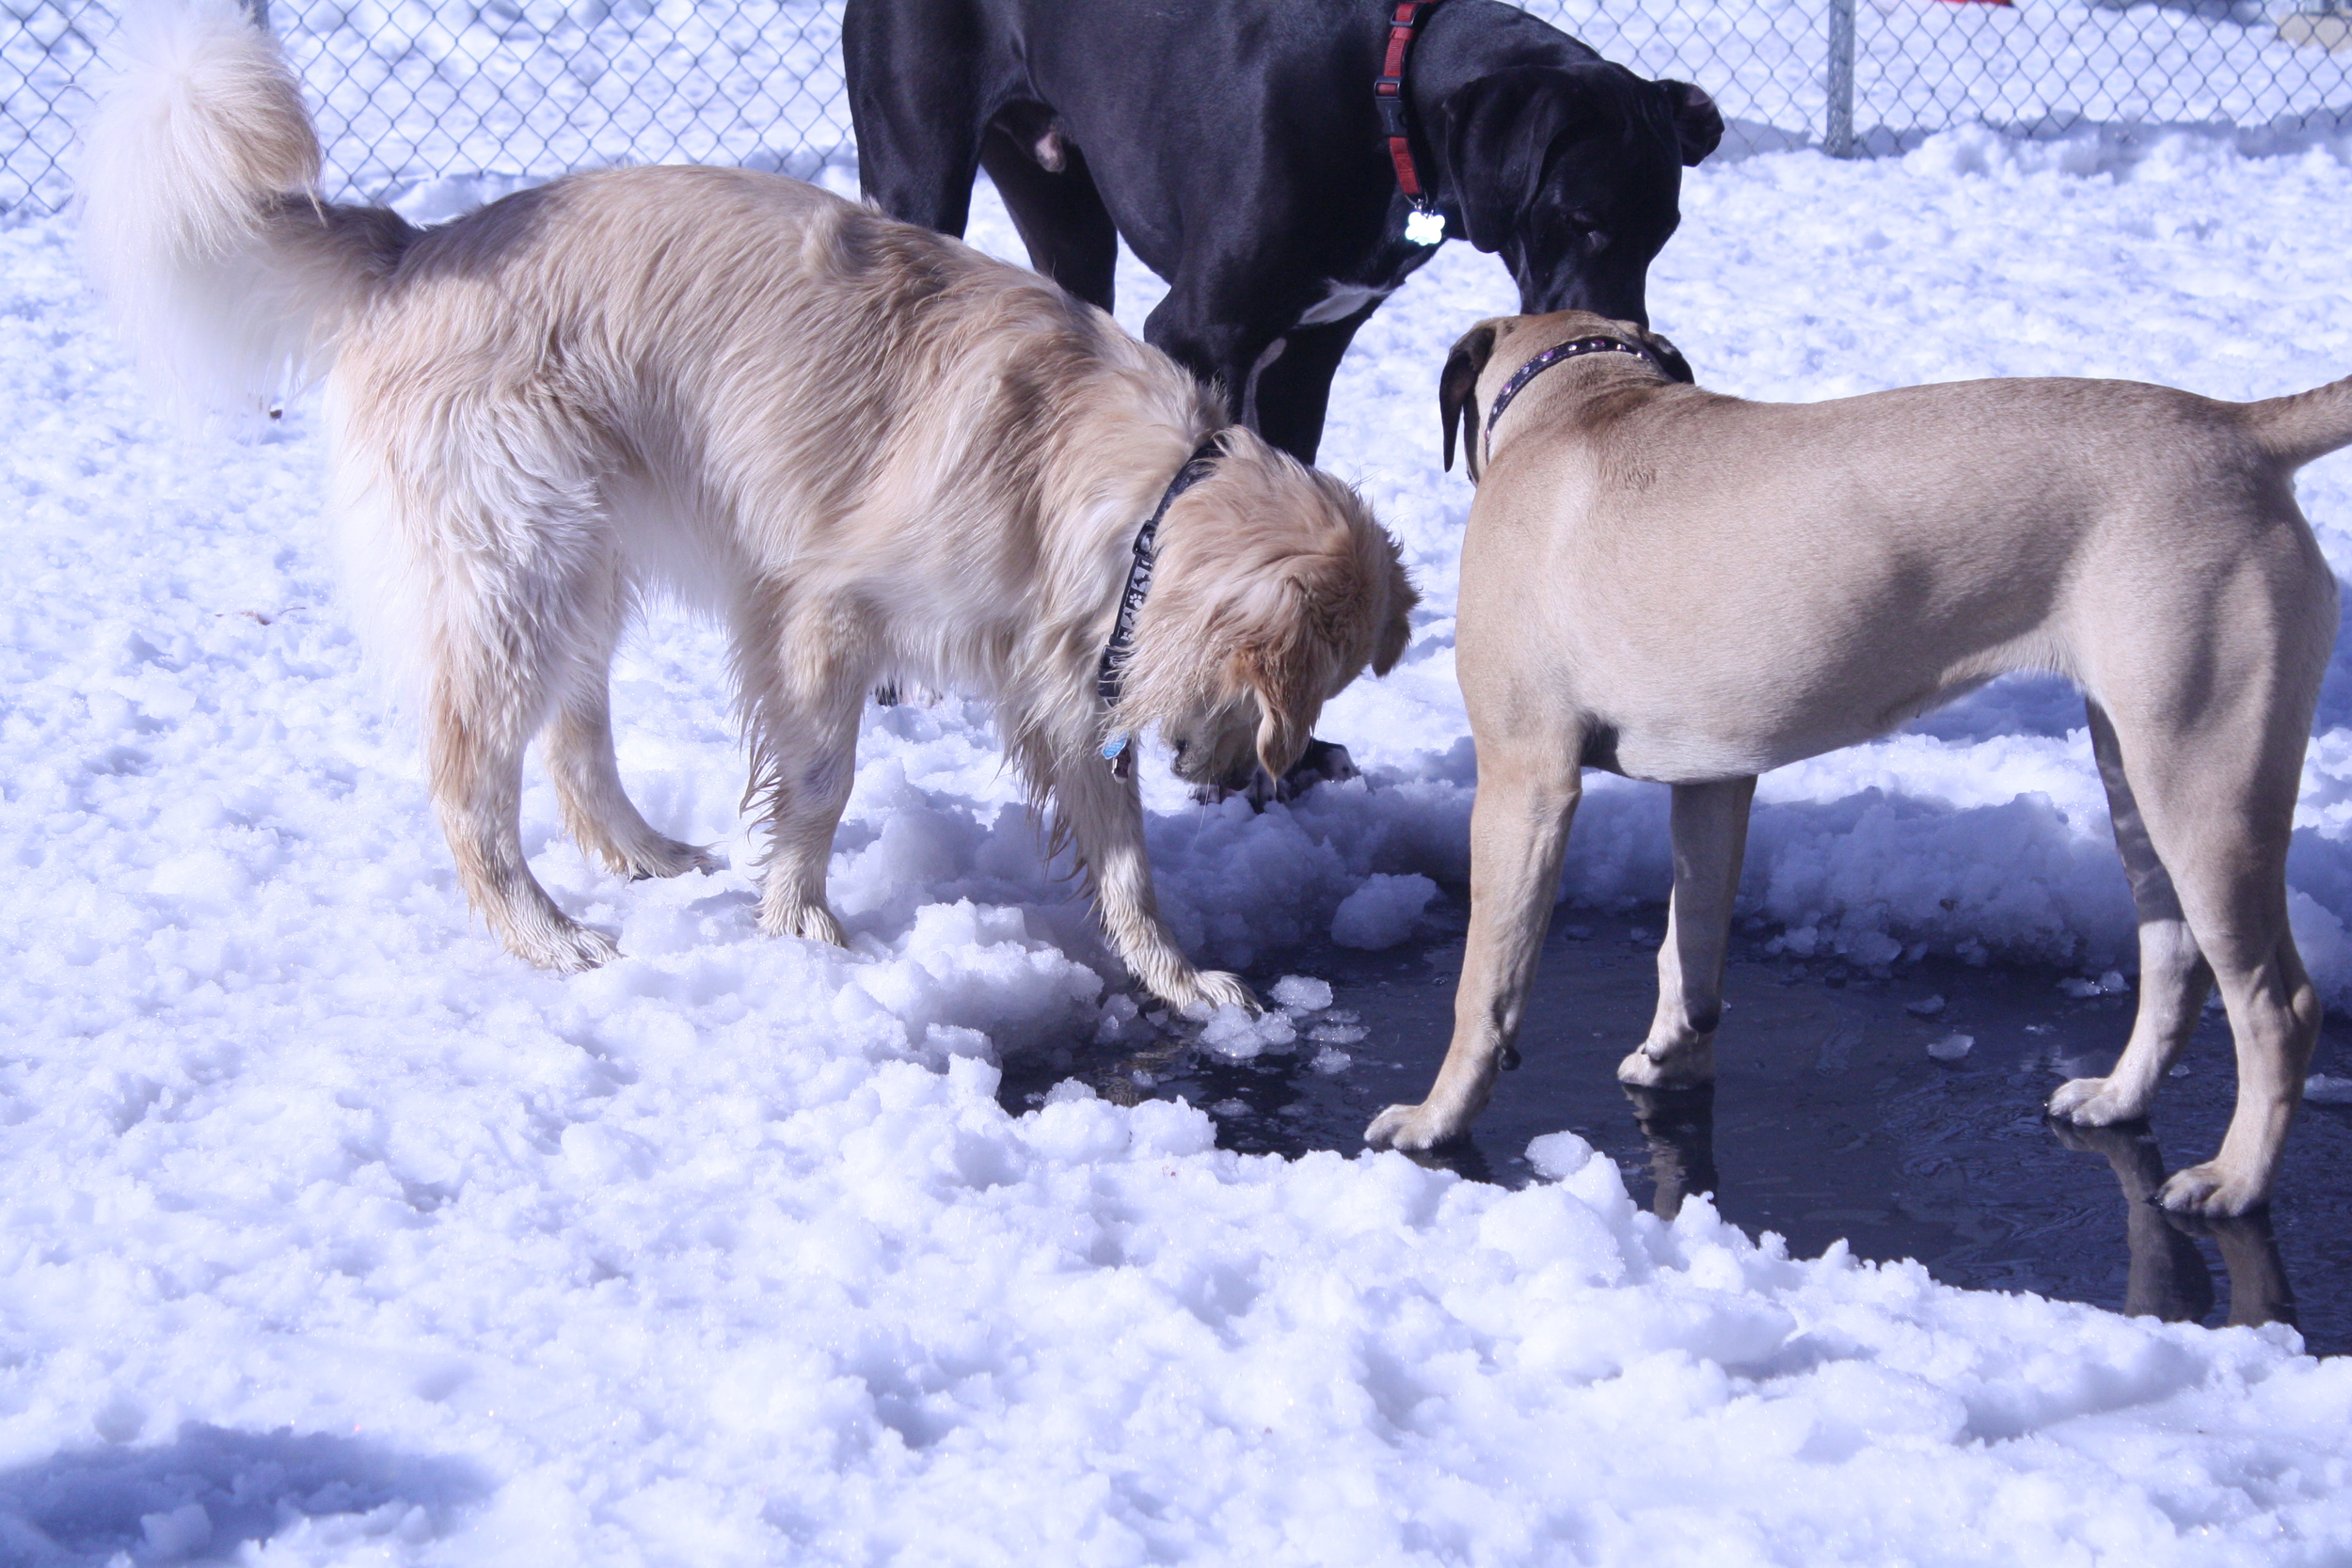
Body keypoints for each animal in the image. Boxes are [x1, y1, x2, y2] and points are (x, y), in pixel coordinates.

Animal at [87, 0, 1411, 1010]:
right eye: (1288, 702)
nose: (1259, 774)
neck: (1130, 494)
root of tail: (414, 249)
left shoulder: (1054, 680)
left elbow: (1125, 855)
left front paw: (1179, 977)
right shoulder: (822, 616)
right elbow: (820, 781)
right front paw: (802, 928)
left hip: (582, 560)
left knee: (573, 742)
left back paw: (647, 855)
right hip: (519, 566)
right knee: (474, 783)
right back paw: (548, 933)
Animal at [842, 0, 1712, 460]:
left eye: (1666, 231)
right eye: (1583, 219)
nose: (1631, 351)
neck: (1388, 97)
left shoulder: (1305, 359)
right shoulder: (1199, 334)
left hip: (1070, 226)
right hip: (920, 184)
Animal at [1364, 305, 2352, 1212]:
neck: (1583, 395)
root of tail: (2239, 427)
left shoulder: (1523, 778)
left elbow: (1485, 982)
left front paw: (1436, 1117)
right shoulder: (1713, 779)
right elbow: (1691, 943)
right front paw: (1672, 1056)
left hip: (2206, 780)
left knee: (2279, 1008)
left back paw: (2235, 1179)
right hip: (2138, 768)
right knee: (2175, 955)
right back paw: (2118, 1098)